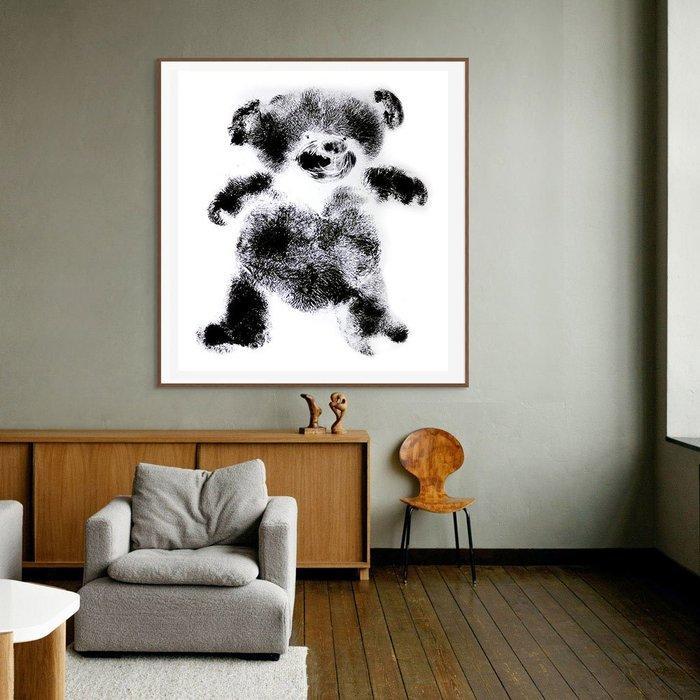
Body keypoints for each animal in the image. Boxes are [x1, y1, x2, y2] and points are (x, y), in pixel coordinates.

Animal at [201, 87, 427, 356]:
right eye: (306, 135)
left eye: (346, 137)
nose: (332, 146)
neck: (317, 192)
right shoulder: (271, 196)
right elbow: (248, 188)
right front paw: (219, 212)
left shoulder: (358, 191)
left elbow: (383, 181)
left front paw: (417, 194)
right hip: (253, 279)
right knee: (245, 302)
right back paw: (228, 336)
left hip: (362, 286)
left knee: (368, 311)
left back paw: (385, 335)